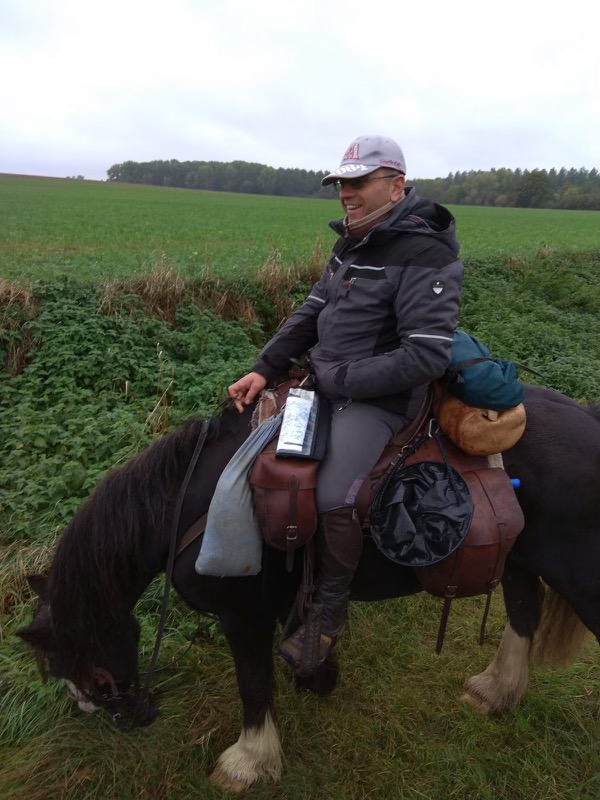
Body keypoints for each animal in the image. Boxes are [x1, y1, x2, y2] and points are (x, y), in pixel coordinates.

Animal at [18, 384, 600, 792]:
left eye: (87, 668)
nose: (126, 719)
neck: (192, 505)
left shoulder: (242, 614)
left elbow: (254, 684)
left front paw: (248, 762)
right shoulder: (286, 596)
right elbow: (306, 630)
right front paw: (318, 674)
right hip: (520, 559)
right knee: (523, 614)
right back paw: (494, 693)